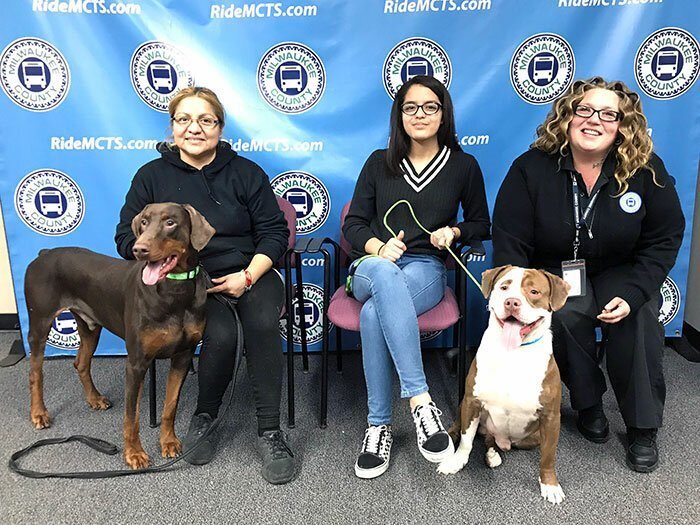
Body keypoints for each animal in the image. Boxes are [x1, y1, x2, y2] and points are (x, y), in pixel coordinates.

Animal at [24, 203, 215, 468]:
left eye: (170, 222)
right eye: (144, 222)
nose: (139, 249)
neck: (175, 290)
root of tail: (43, 253)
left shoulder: (183, 356)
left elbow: (170, 407)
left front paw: (168, 442)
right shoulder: (136, 363)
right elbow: (131, 416)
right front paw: (134, 454)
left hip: (90, 326)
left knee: (80, 362)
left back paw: (94, 399)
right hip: (40, 324)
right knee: (35, 372)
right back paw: (39, 413)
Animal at [440, 266, 572, 504]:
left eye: (534, 292)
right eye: (504, 287)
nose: (512, 302)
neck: (514, 352)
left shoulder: (551, 417)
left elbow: (548, 455)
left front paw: (550, 485)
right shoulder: (472, 401)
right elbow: (466, 439)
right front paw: (456, 461)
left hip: (532, 436)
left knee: (494, 441)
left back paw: (493, 453)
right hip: (464, 404)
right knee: (462, 428)